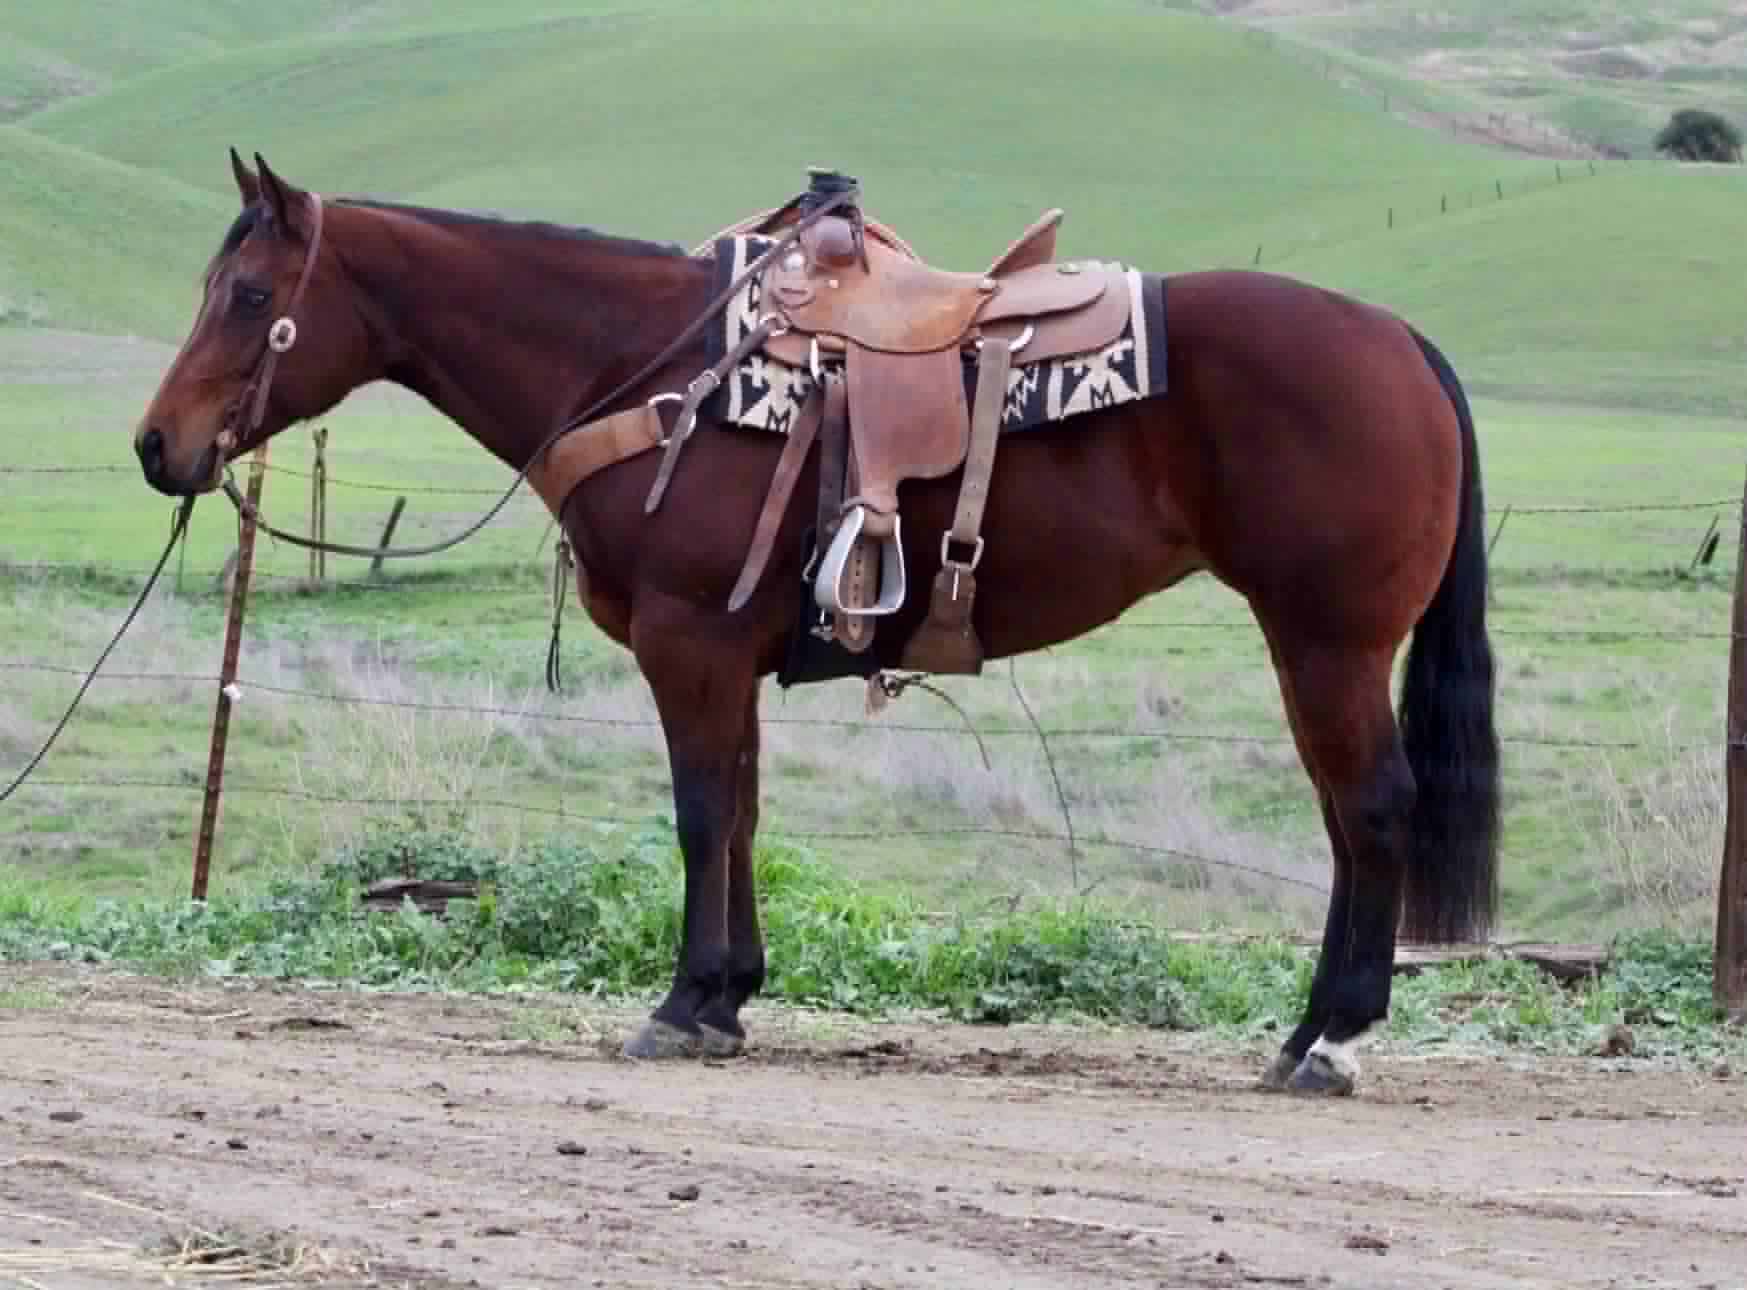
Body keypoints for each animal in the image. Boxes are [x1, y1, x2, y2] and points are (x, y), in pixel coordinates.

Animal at [132, 151, 1499, 1097]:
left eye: (247, 294)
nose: (157, 446)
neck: (647, 369)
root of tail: (1402, 342)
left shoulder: (687, 642)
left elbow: (698, 815)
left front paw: (680, 1004)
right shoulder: (728, 656)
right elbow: (740, 811)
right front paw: (730, 999)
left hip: (1324, 640)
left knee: (1371, 808)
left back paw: (1329, 1037)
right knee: (1348, 818)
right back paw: (1311, 1029)